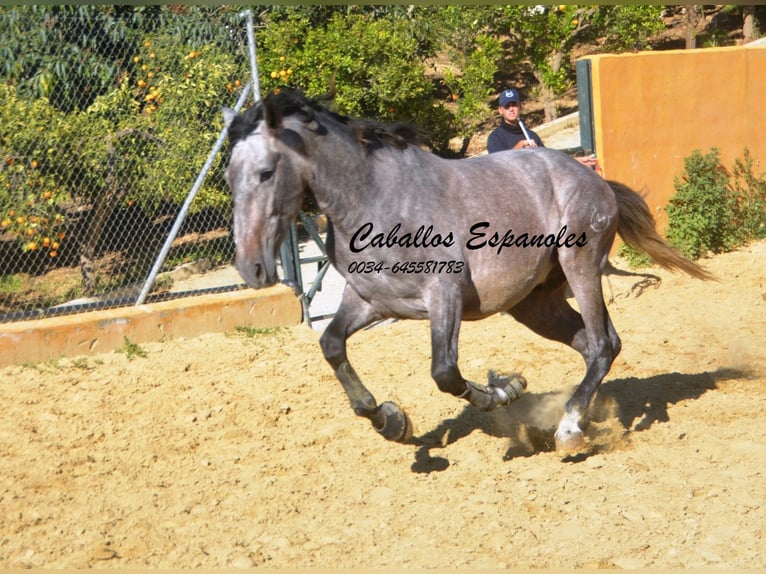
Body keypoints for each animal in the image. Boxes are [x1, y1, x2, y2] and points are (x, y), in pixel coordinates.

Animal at [224, 88, 712, 454]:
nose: (253, 269)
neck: (375, 199)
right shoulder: (369, 301)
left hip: (581, 267)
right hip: (533, 303)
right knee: (592, 345)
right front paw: (391, 420)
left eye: (266, 172)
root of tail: (589, 173)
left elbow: (445, 373)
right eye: (229, 177)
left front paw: (503, 391)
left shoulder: (445, 296)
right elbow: (331, 344)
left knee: (604, 343)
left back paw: (570, 429)